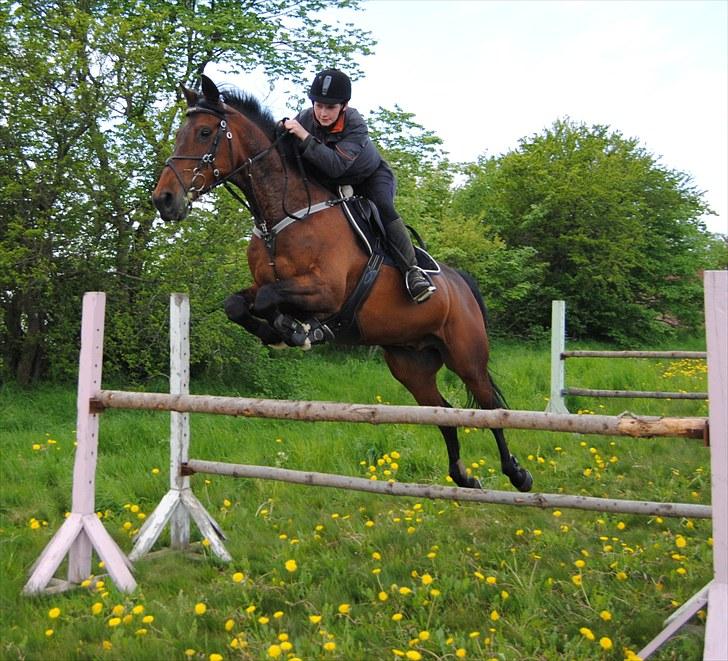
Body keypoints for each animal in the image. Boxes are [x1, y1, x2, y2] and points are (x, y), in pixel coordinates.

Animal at [151, 75, 532, 492]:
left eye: (204, 133)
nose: (163, 200)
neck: (283, 215)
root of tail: (460, 281)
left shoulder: (326, 291)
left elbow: (270, 299)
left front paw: (296, 330)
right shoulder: (266, 285)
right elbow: (238, 303)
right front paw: (278, 332)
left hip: (466, 355)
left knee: (490, 407)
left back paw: (518, 473)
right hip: (410, 363)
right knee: (443, 412)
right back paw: (463, 476)